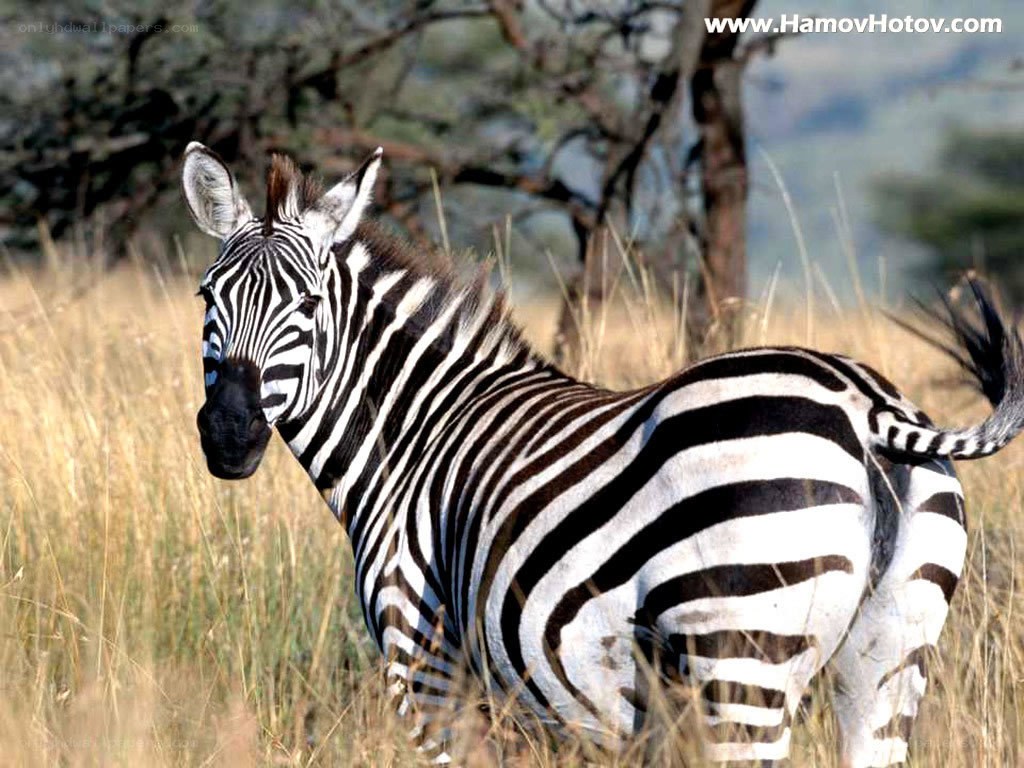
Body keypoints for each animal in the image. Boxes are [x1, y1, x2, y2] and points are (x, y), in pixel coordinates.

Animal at [181, 142, 1024, 766]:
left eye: (308, 305)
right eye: (207, 298)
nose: (229, 433)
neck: (413, 433)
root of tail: (863, 405)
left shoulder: (427, 665)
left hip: (740, 658)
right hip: (888, 659)